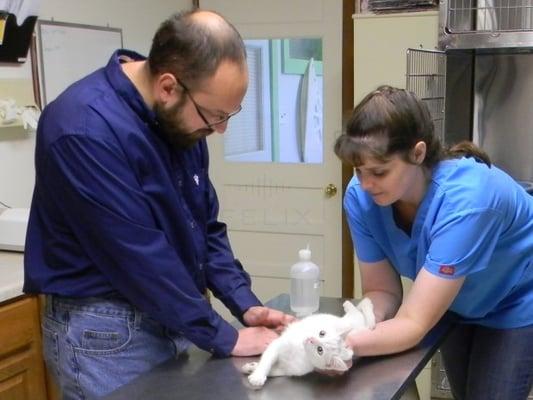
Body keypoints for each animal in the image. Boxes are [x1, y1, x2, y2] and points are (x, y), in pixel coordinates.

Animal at [241, 298, 374, 390]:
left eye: (320, 350)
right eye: (322, 333)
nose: (311, 339)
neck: (300, 352)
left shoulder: (288, 370)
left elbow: (273, 371)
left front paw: (254, 370)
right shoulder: (278, 345)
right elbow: (266, 362)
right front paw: (257, 373)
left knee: (359, 312)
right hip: (349, 321)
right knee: (357, 311)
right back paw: (349, 305)